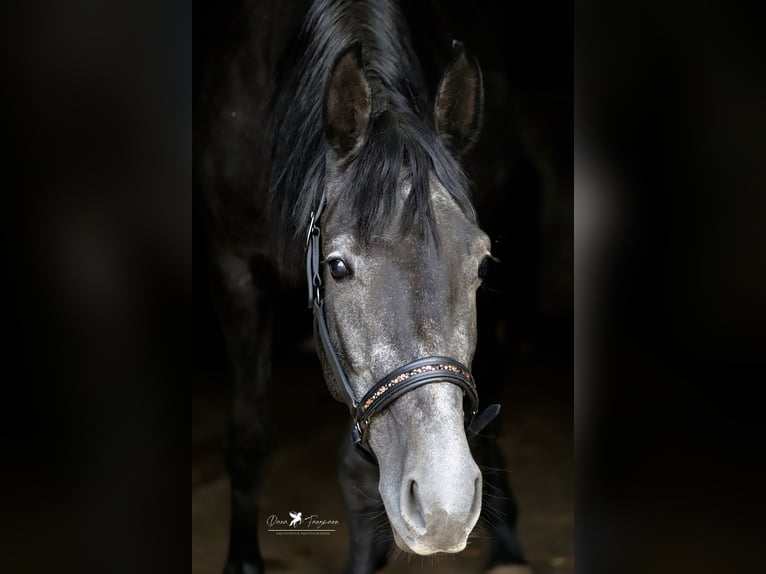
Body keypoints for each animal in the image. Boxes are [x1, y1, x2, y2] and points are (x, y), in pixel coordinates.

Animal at [198, 0, 532, 572]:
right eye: (337, 267)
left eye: (482, 266)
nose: (445, 509)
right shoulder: (232, 269)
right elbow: (248, 439)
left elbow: (357, 475)